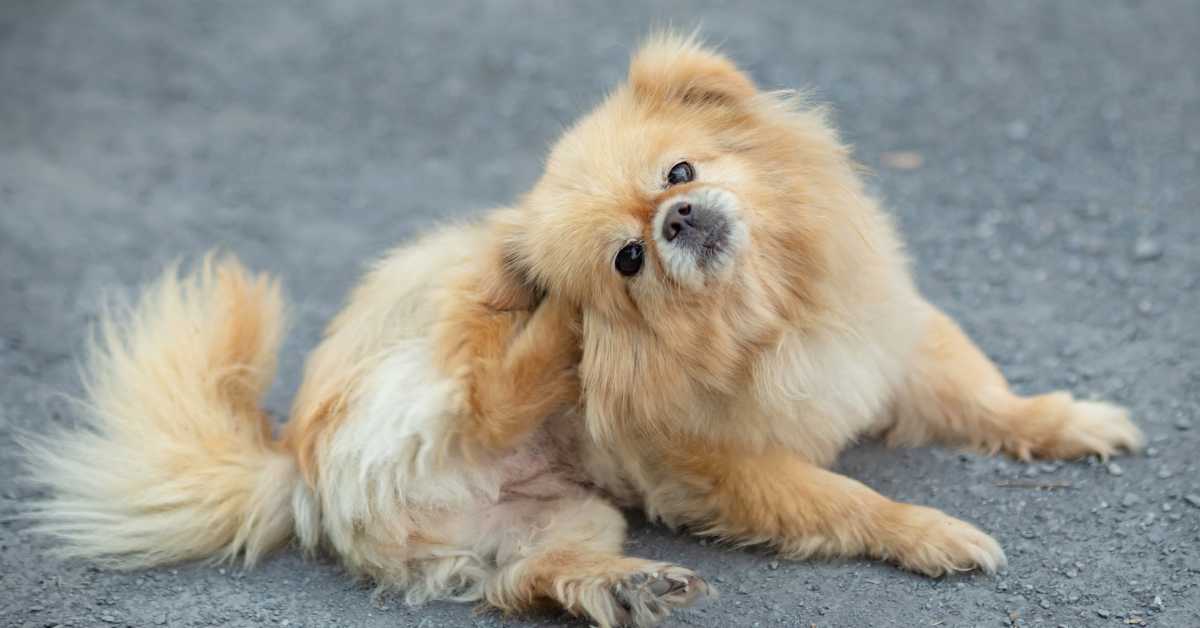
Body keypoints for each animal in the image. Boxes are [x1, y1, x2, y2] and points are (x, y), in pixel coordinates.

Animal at [23, 33, 1137, 628]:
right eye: (628, 261)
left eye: (682, 171)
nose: (676, 219)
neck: (767, 315)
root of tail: (294, 465)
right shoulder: (728, 468)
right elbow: (850, 499)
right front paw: (936, 534)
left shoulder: (895, 343)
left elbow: (988, 396)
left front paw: (1069, 421)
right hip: (427, 369)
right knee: (484, 383)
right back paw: (555, 331)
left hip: (564, 516)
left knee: (530, 578)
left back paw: (626, 581)